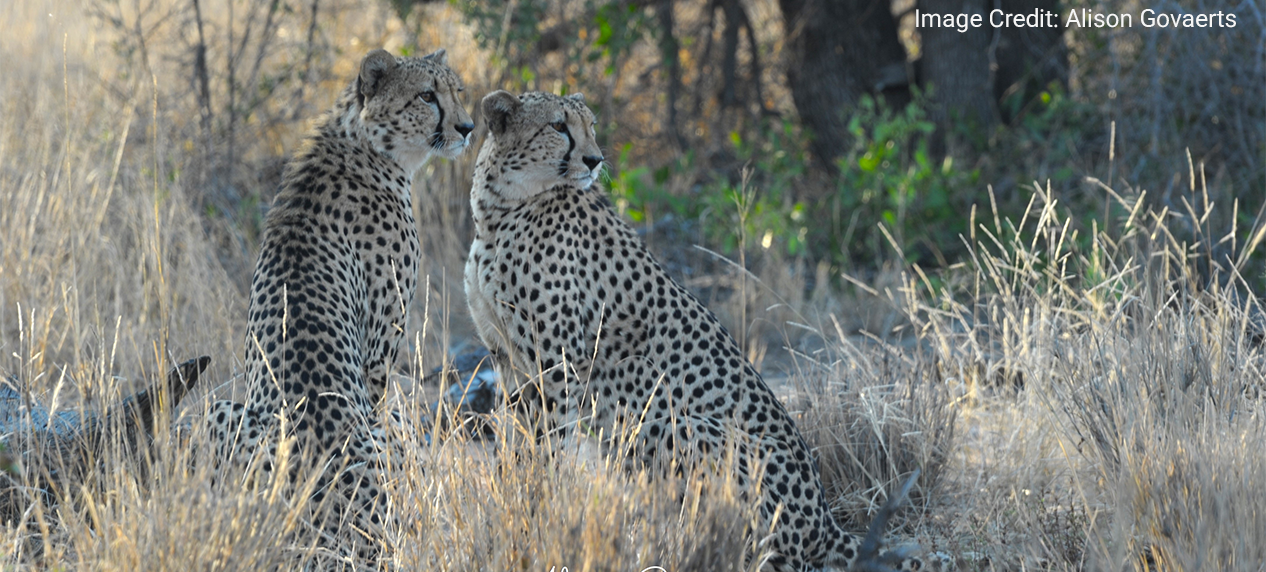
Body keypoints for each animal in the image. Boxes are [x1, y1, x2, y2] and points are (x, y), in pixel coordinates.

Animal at [205, 48, 473, 563]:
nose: (468, 127)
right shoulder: (378, 357)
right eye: (426, 96)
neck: (365, 142)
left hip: (215, 413)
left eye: (456, 91)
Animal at [464, 90, 936, 572]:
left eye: (590, 125)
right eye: (558, 126)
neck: (499, 210)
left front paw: (537, 518)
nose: (595, 160)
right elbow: (513, 446)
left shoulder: (559, 366)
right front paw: (507, 510)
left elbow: (546, 451)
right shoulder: (509, 361)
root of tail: (824, 522)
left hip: (664, 417)